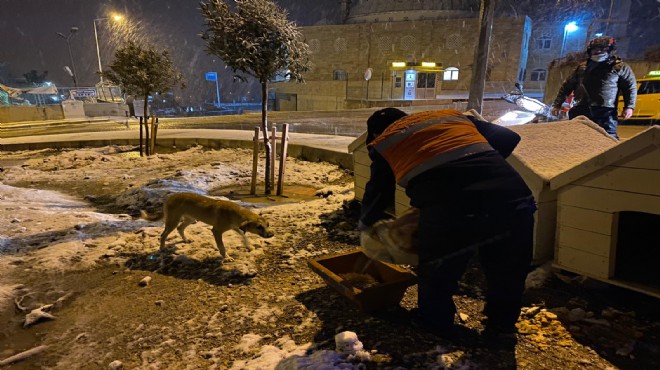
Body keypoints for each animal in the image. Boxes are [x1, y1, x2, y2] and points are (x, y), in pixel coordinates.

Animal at [139, 192, 274, 262]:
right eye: (259, 227)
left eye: (267, 225)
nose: (271, 234)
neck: (236, 213)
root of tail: (170, 197)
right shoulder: (217, 231)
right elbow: (222, 246)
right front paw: (226, 257)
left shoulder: (236, 227)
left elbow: (244, 236)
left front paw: (249, 246)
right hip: (173, 221)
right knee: (163, 235)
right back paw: (162, 248)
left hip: (190, 219)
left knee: (180, 228)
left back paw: (186, 240)